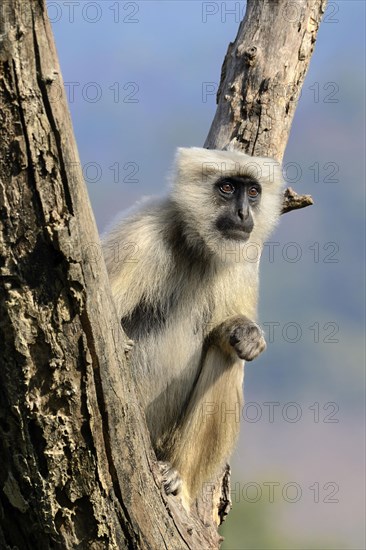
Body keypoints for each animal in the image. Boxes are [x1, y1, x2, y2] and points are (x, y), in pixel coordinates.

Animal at [101, 147, 284, 508]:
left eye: (253, 192)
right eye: (227, 188)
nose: (243, 213)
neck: (197, 245)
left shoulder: (244, 260)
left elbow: (229, 338)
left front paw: (247, 333)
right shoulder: (140, 236)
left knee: (227, 355)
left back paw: (179, 477)